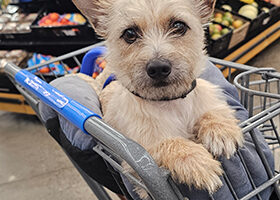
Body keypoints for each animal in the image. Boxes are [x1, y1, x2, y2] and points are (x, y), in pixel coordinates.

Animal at [73, 0, 244, 197]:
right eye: (129, 34)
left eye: (178, 26)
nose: (158, 68)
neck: (171, 101)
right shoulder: (139, 155)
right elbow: (168, 143)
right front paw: (196, 161)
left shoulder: (209, 100)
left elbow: (212, 112)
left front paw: (220, 130)